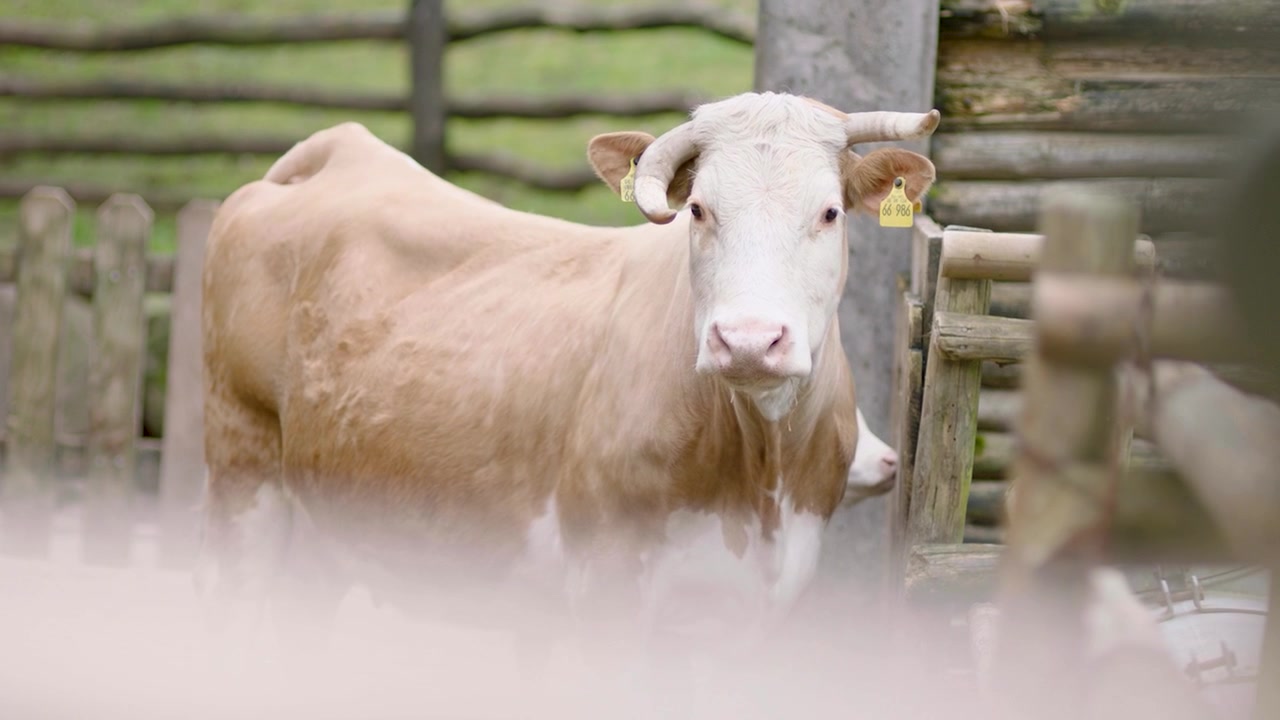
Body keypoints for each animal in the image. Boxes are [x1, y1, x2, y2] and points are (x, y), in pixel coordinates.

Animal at [198, 91, 938, 660]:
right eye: (699, 209)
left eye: (829, 212)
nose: (749, 341)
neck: (756, 473)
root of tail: (341, 148)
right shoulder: (607, 592)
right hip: (243, 474)